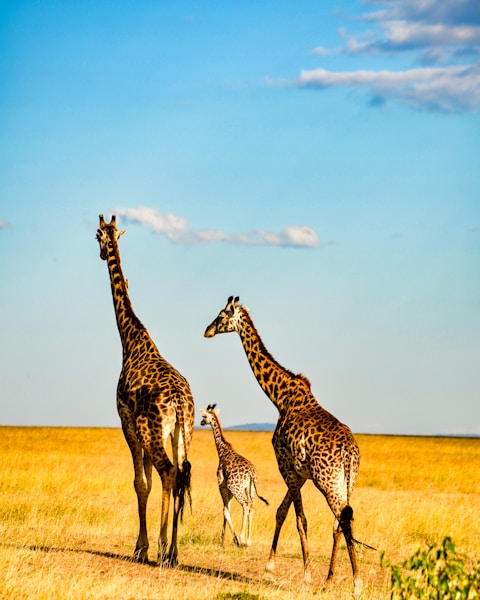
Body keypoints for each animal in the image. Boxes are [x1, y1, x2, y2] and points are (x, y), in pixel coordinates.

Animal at [96, 216, 194, 568]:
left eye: (96, 235)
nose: (101, 252)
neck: (130, 339)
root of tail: (179, 403)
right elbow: (149, 482)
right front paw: (147, 546)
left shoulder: (126, 421)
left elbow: (141, 483)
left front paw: (141, 548)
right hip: (182, 434)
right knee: (180, 474)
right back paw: (174, 552)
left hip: (151, 432)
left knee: (169, 472)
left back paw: (164, 550)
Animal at [198, 404, 266, 548]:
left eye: (204, 416)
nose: (201, 422)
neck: (223, 451)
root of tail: (251, 473)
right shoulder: (228, 489)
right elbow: (226, 510)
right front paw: (223, 539)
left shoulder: (222, 485)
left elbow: (225, 510)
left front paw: (229, 539)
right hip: (250, 489)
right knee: (251, 507)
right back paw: (249, 541)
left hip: (236, 488)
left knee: (245, 505)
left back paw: (242, 538)